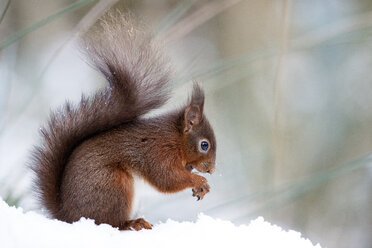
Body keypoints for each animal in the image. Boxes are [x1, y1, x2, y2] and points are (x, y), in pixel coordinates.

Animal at [32, 11, 218, 232]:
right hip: (114, 185)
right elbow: (166, 178)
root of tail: (68, 216)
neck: (174, 138)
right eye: (204, 145)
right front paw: (199, 180)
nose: (211, 170)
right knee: (112, 222)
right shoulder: (157, 152)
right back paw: (133, 223)